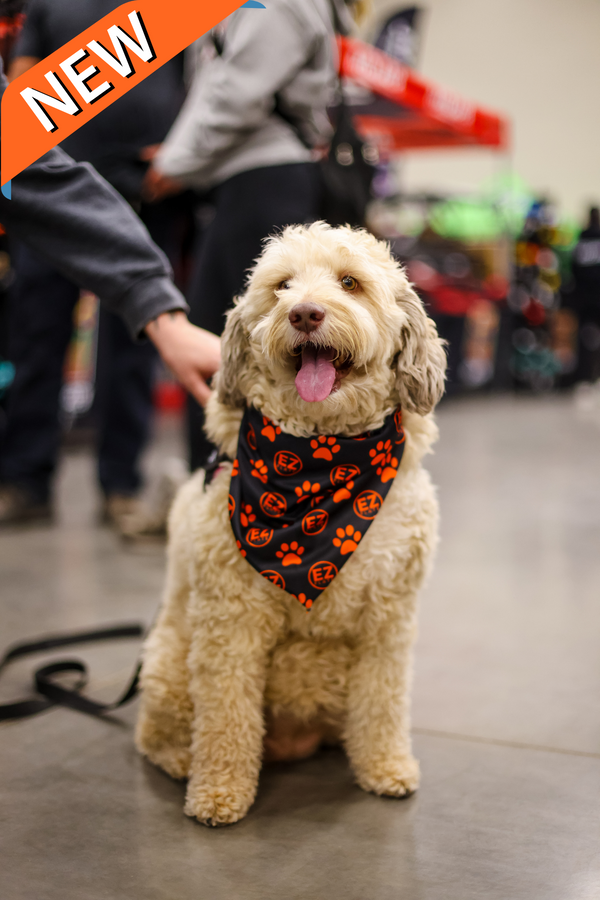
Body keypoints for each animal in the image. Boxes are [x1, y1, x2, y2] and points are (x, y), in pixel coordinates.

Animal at [135, 223, 446, 824]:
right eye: (281, 285)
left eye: (350, 283)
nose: (303, 313)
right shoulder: (230, 622)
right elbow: (226, 716)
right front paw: (219, 792)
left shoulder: (389, 619)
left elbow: (383, 701)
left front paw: (386, 766)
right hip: (166, 661)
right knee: (153, 733)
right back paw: (182, 760)